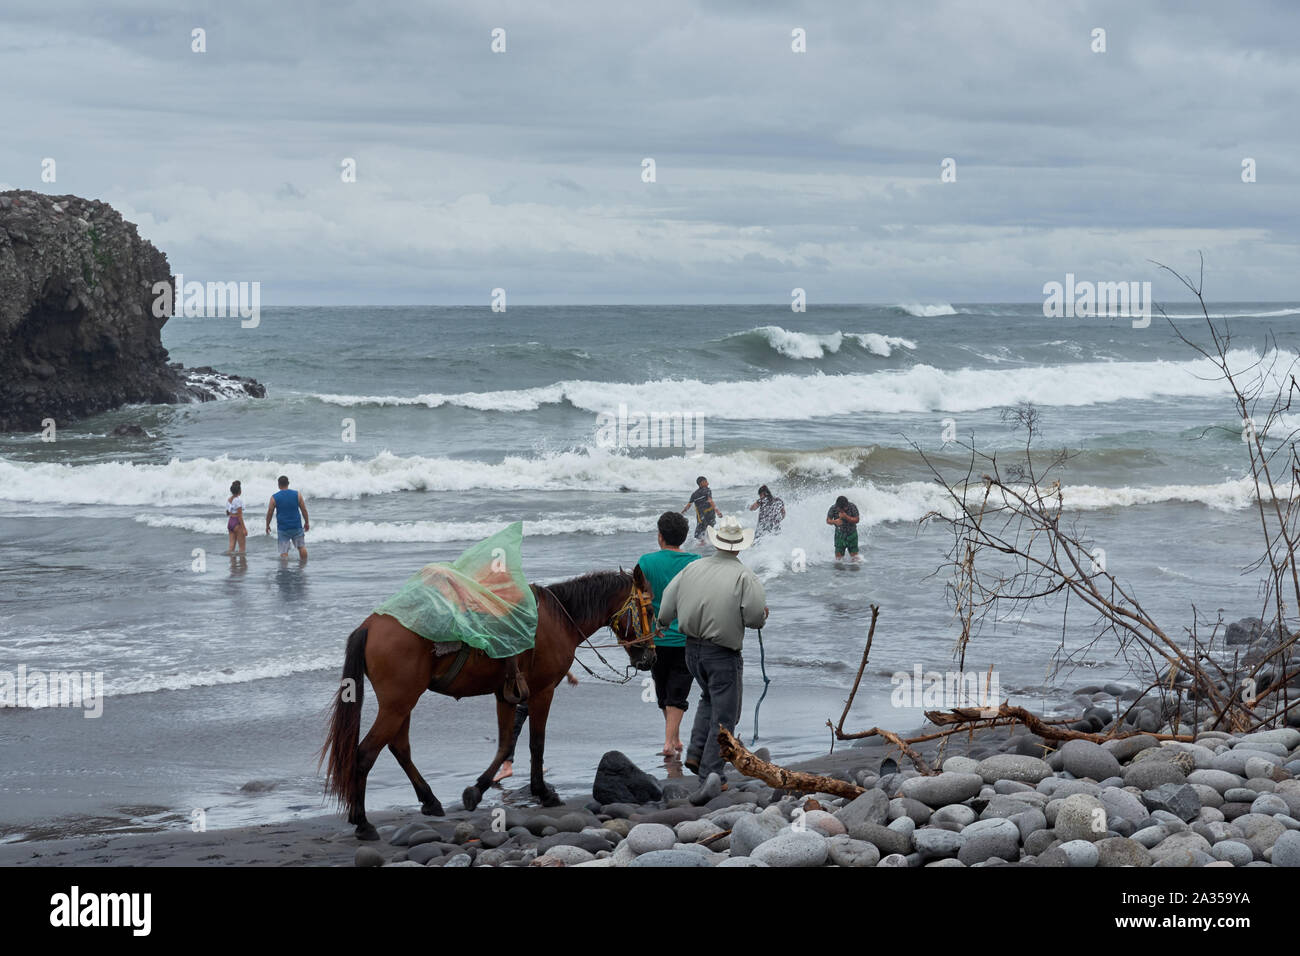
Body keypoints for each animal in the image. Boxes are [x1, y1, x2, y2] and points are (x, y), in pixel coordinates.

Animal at [319, 564, 655, 842]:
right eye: (650, 610)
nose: (649, 657)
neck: (559, 620)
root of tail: (370, 626)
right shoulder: (542, 691)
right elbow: (536, 743)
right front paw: (542, 793)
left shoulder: (506, 694)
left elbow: (506, 744)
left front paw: (476, 791)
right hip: (398, 704)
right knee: (365, 754)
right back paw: (363, 822)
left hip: (402, 704)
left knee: (399, 747)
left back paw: (429, 800)